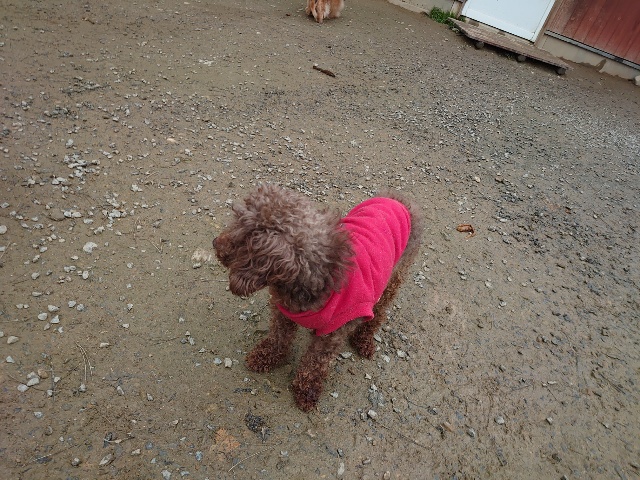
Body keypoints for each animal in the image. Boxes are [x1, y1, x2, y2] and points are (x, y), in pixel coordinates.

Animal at [213, 184, 422, 411]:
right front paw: (266, 357)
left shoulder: (332, 334)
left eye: (243, 240)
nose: (215, 243)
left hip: (394, 277)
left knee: (379, 312)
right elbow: (278, 338)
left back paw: (364, 340)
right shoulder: (283, 314)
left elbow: (315, 363)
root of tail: (398, 199)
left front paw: (306, 391)